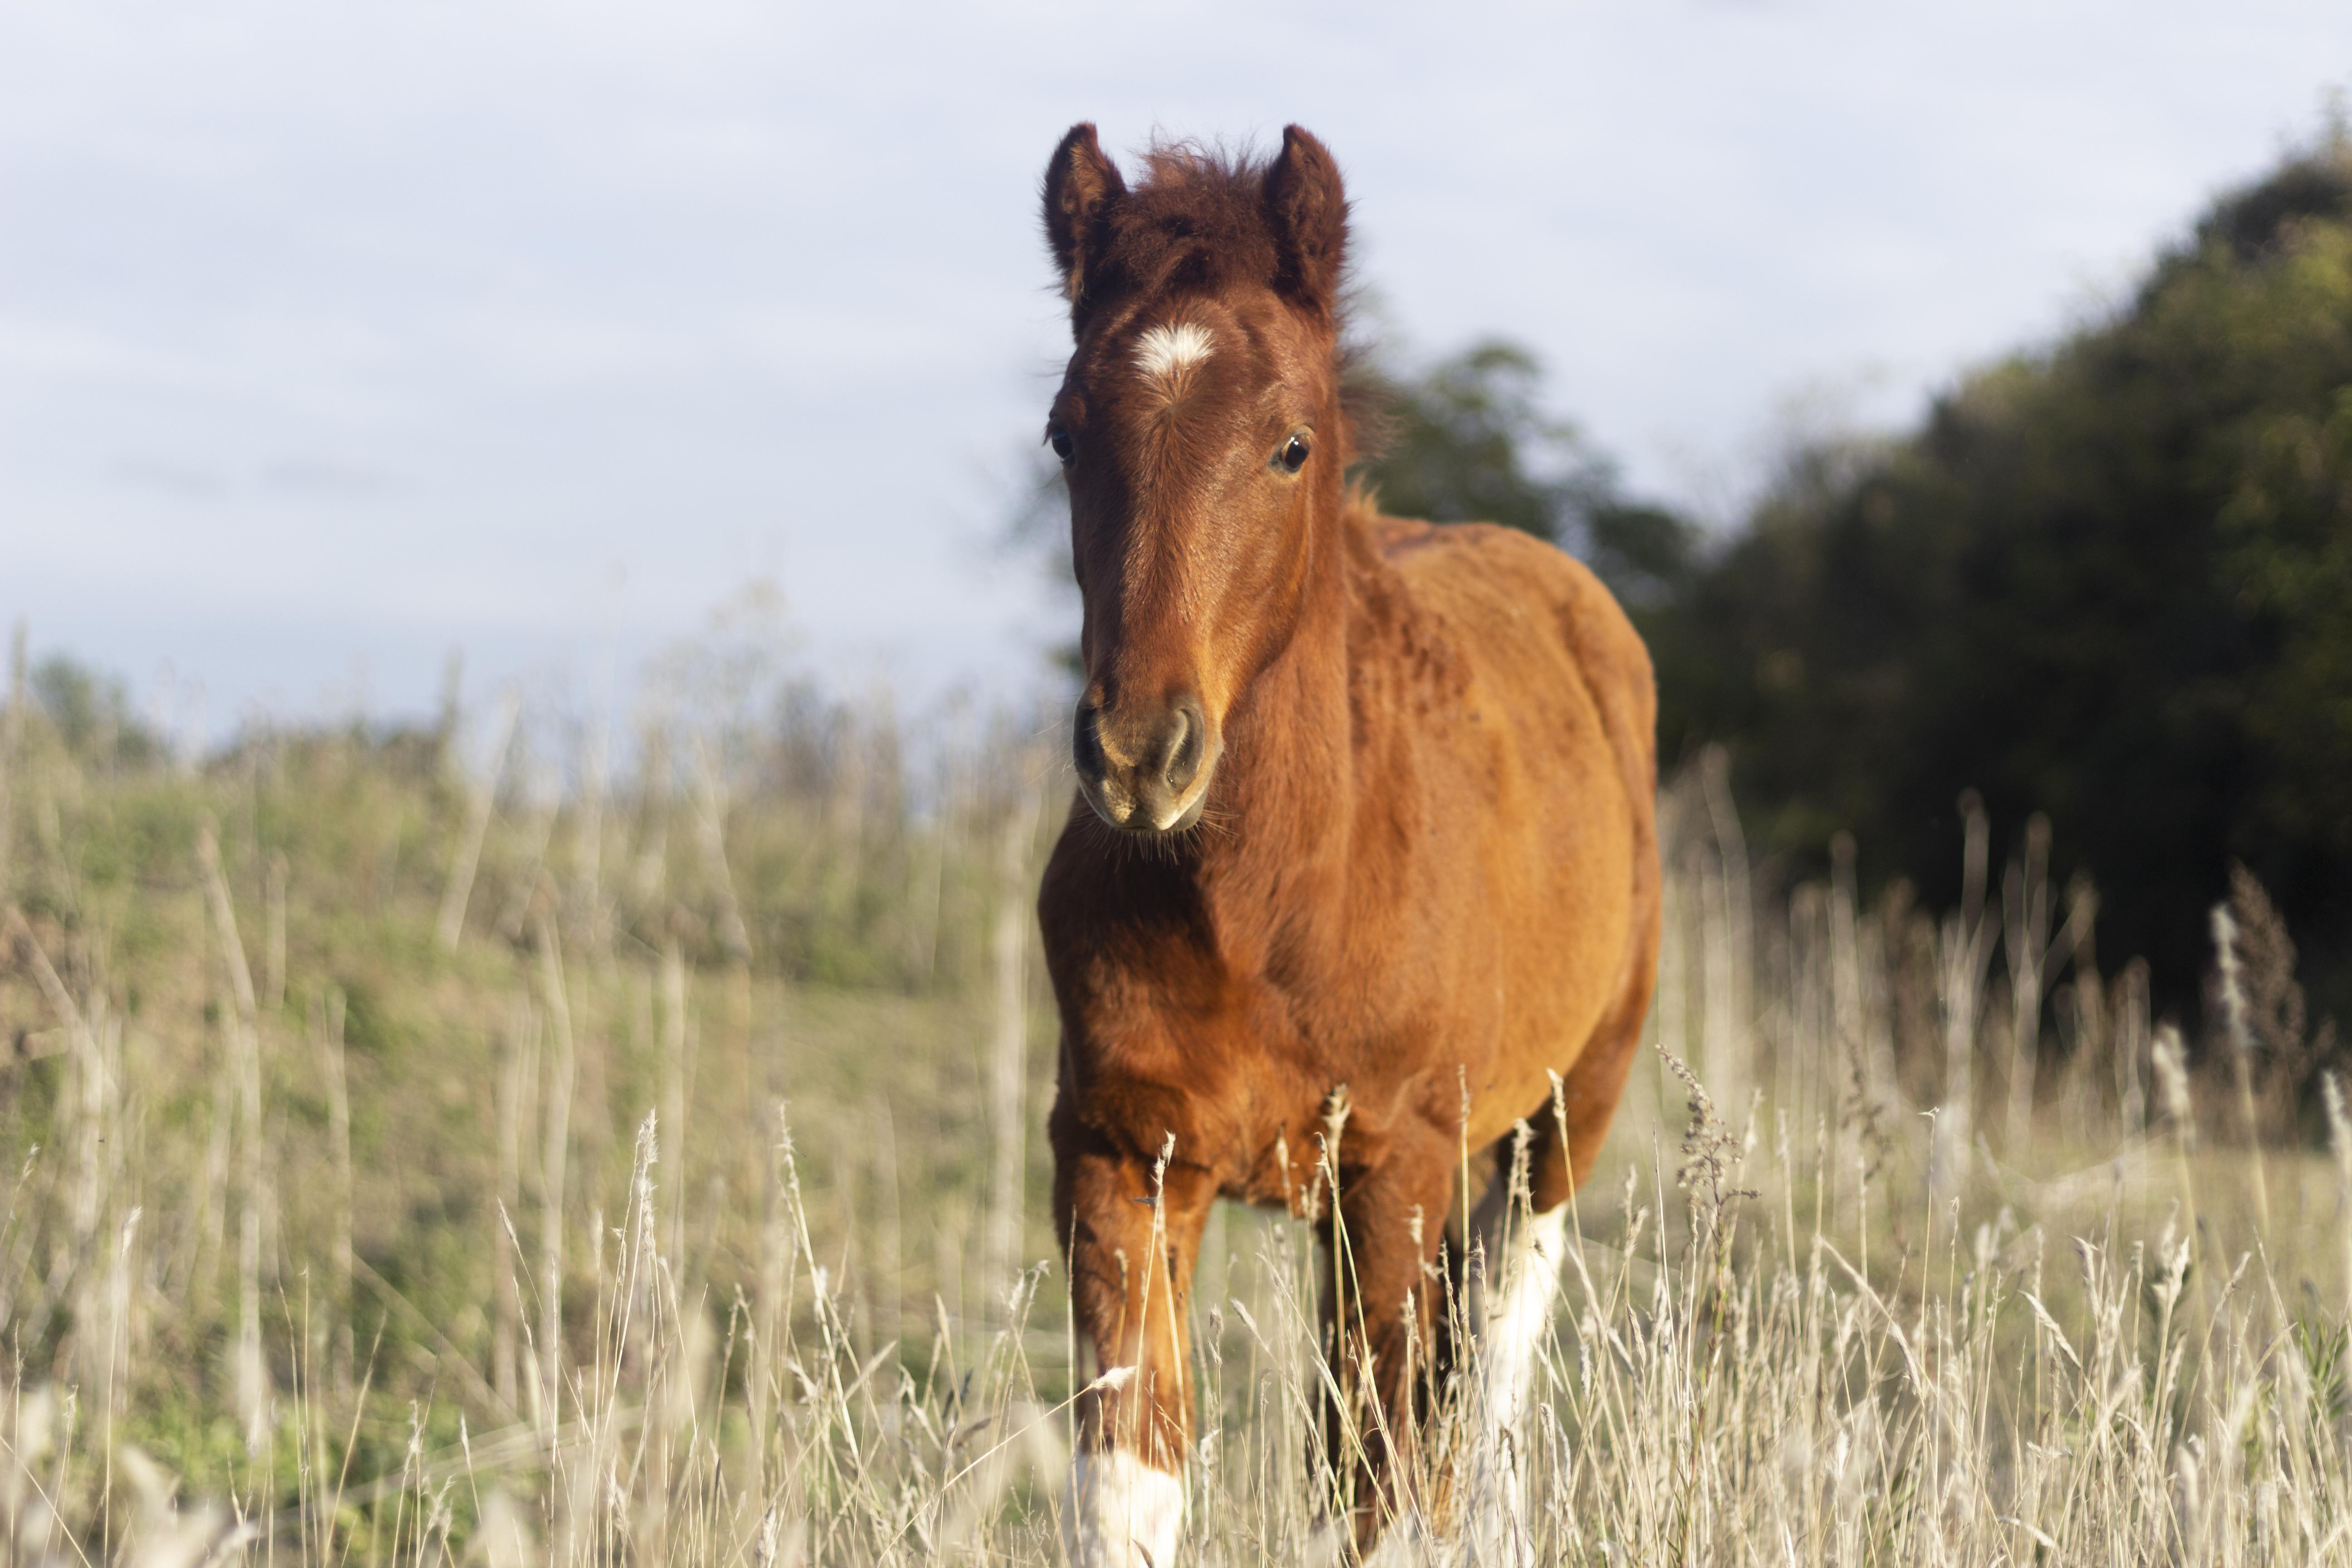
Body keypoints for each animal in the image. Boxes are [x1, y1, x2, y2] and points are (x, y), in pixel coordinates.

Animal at [1039, 126, 1665, 1568]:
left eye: (1289, 445)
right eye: (1063, 433)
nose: (1140, 754)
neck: (1272, 899)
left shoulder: (1401, 1172)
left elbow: (1379, 1500)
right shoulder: (1117, 1154)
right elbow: (1130, 1483)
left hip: (1560, 1122)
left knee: (1490, 1383)